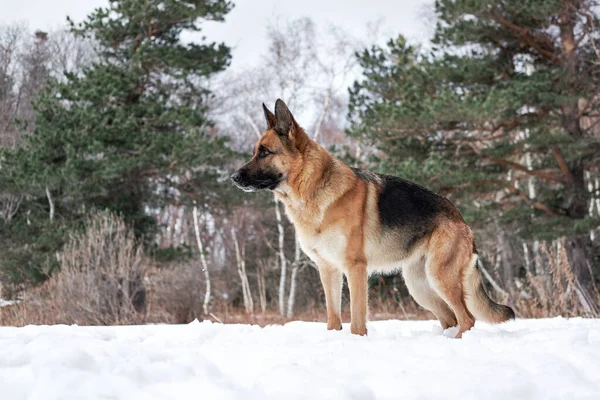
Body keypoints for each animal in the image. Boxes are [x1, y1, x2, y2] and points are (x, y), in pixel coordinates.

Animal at [232, 98, 512, 336]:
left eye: (265, 152)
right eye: (256, 151)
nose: (233, 177)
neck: (313, 188)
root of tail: (460, 217)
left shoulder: (355, 268)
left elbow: (357, 319)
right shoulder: (328, 269)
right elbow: (333, 318)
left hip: (440, 278)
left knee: (467, 318)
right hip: (419, 287)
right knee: (451, 318)